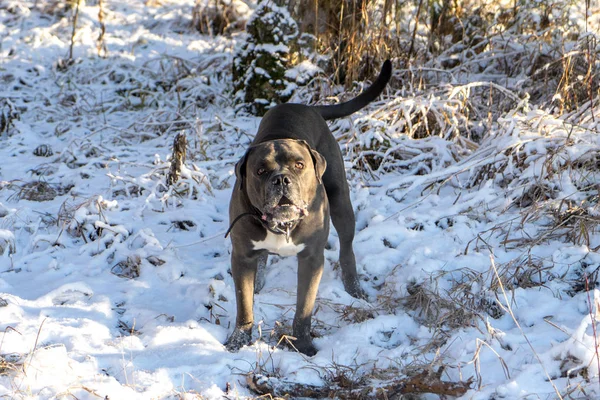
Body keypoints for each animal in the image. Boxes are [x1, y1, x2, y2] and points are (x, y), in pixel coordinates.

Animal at [226, 60, 394, 356]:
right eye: (260, 171)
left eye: (299, 165)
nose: (281, 179)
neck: (281, 225)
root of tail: (309, 107)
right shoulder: (242, 256)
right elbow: (244, 305)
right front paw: (239, 341)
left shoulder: (311, 258)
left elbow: (304, 307)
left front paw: (302, 344)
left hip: (341, 202)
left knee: (347, 248)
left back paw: (354, 288)